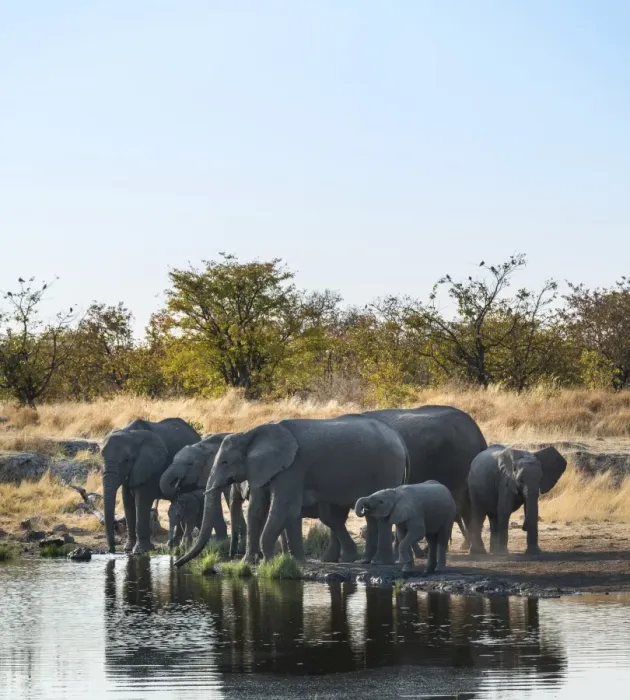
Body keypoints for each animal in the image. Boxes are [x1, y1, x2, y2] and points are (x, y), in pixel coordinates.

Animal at [102, 417, 201, 554]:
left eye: (127, 459)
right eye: (102, 456)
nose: (112, 550)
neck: (130, 434)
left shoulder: (150, 466)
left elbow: (141, 502)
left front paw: (141, 550)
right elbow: (127, 502)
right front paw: (128, 549)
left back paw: (177, 545)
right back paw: (174, 545)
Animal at [175, 415, 409, 567]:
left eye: (225, 462)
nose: (177, 564)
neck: (251, 432)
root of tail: (399, 437)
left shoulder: (293, 466)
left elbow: (283, 508)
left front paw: (268, 563)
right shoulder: (265, 468)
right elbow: (258, 510)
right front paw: (250, 563)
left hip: (388, 467)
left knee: (379, 514)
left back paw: (380, 563)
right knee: (369, 514)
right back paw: (367, 561)